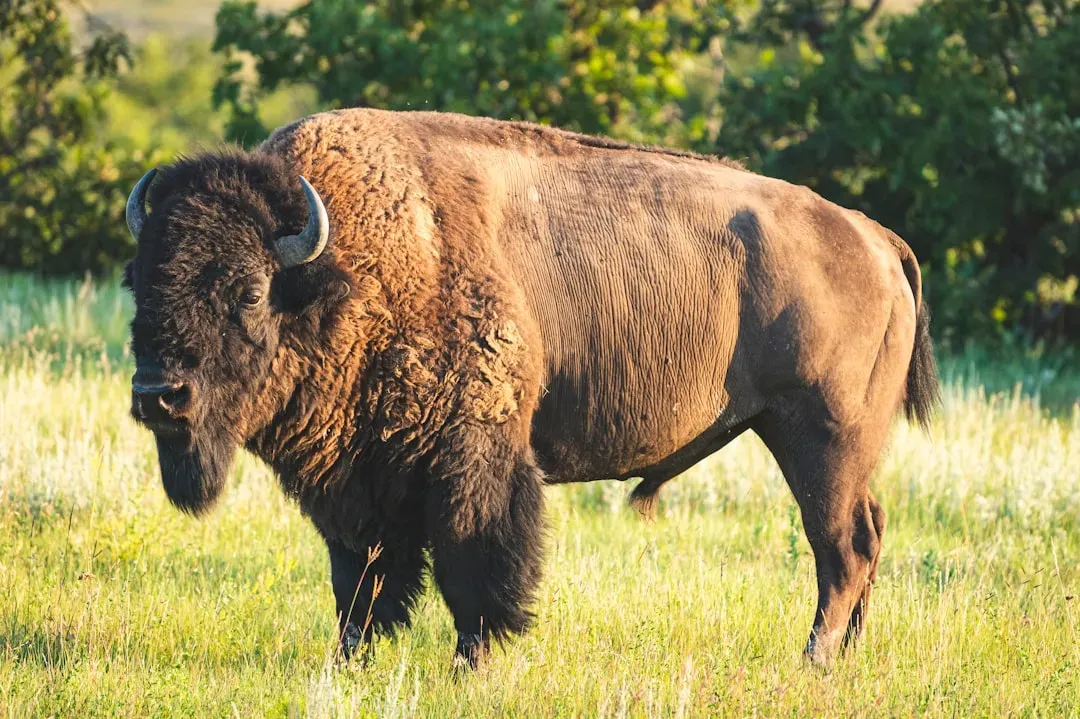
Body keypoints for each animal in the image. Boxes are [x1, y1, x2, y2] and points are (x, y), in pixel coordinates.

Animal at [123, 109, 939, 669]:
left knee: (841, 546)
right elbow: (359, 577)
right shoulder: (357, 480)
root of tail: (874, 236)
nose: (160, 395)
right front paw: (349, 661)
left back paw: (814, 659)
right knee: (868, 533)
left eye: (246, 291)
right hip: (834, 448)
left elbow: (473, 562)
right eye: (140, 284)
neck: (345, 270)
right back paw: (846, 655)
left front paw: (471, 662)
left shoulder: (471, 459)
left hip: (817, 436)